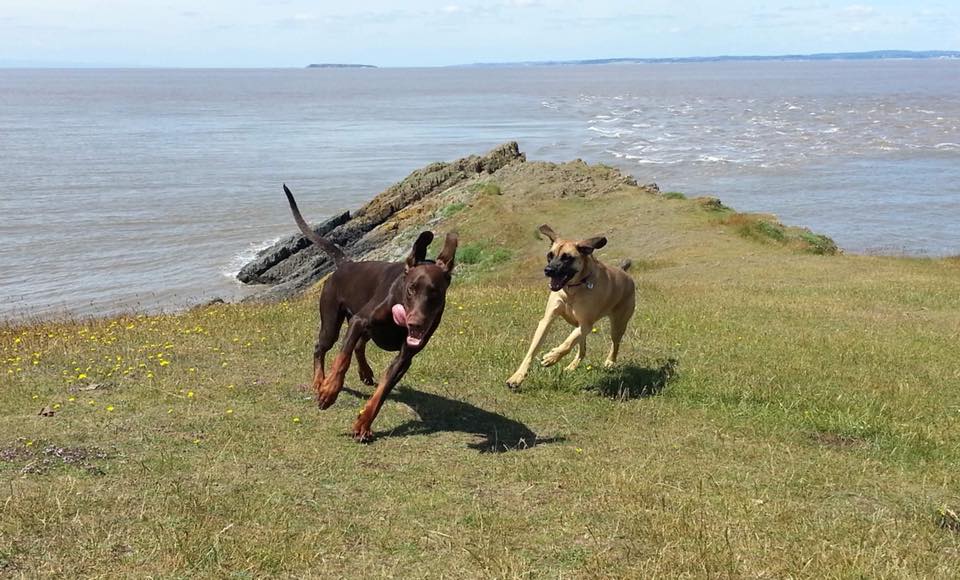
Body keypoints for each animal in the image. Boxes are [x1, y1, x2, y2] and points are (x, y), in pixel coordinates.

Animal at [284, 185, 456, 440]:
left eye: (435, 293)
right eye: (411, 289)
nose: (415, 324)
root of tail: (346, 264)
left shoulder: (405, 356)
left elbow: (383, 390)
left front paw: (363, 423)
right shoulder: (359, 320)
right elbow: (342, 359)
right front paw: (329, 391)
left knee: (359, 345)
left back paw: (364, 372)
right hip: (332, 321)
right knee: (322, 347)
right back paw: (319, 381)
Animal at [506, 224, 632, 388]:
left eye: (567, 258)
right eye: (550, 255)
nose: (548, 270)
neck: (572, 290)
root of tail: (625, 273)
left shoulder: (586, 324)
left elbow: (567, 343)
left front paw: (552, 357)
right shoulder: (548, 320)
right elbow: (533, 350)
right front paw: (517, 377)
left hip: (618, 324)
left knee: (614, 343)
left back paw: (610, 361)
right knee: (582, 349)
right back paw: (572, 366)